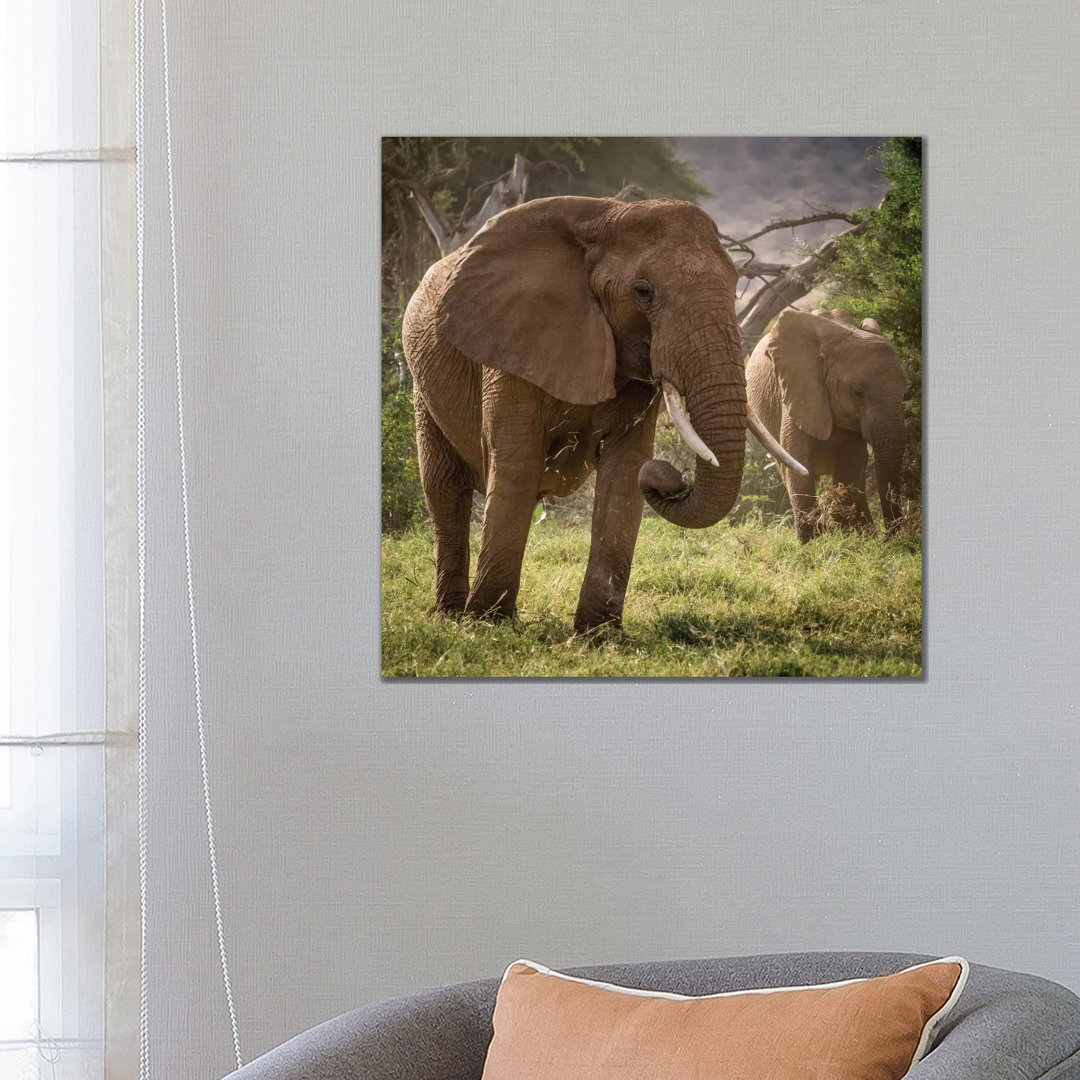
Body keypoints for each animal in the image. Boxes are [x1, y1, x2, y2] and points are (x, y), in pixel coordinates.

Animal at [401, 195, 805, 632]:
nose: (670, 477)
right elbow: (517, 463)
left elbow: (626, 469)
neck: (605, 218)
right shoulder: (509, 343)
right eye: (643, 292)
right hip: (423, 388)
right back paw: (451, 614)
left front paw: (597, 634)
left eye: (734, 286)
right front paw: (488, 624)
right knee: (444, 489)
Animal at [745, 307, 909, 542]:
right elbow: (797, 460)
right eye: (857, 392)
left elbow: (850, 464)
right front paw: (812, 542)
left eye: (906, 388)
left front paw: (848, 536)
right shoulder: (797, 390)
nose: (889, 537)